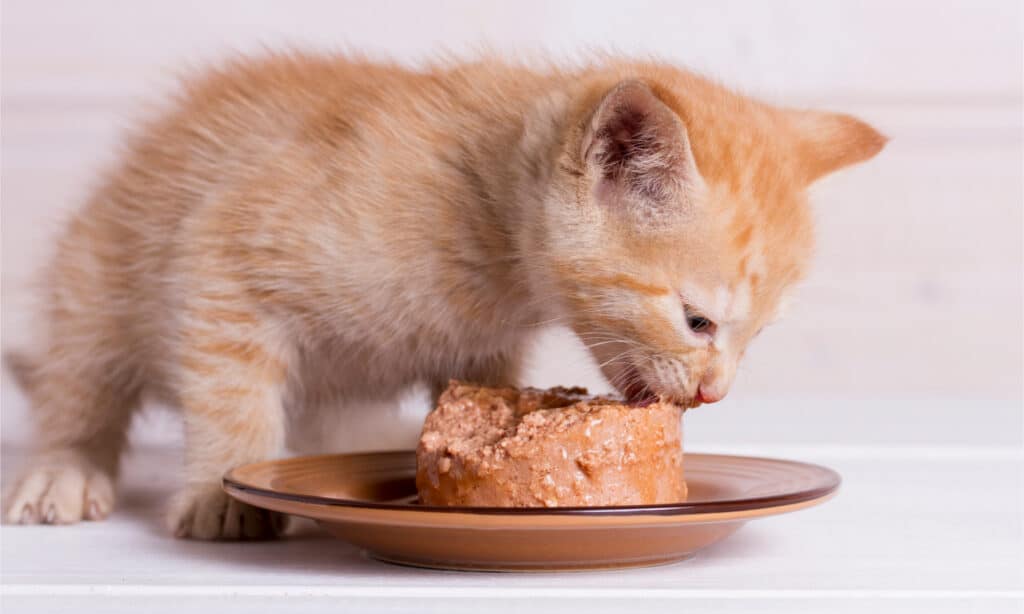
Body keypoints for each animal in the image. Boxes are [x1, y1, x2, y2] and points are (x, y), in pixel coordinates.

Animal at [0, 52, 884, 536]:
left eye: (756, 335)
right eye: (698, 320)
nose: (713, 393)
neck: (493, 233)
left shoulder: (481, 345)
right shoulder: (223, 250)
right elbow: (229, 393)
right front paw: (226, 489)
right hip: (98, 273)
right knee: (79, 382)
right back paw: (63, 471)